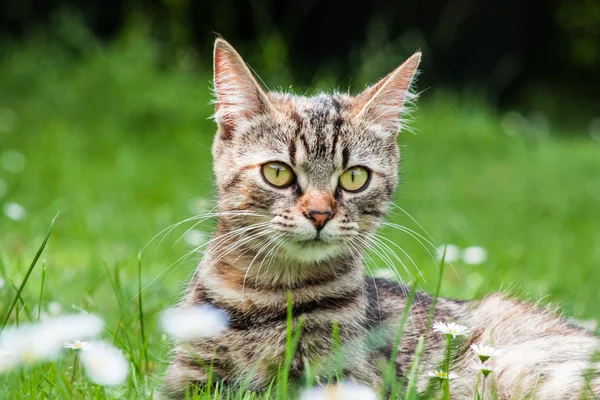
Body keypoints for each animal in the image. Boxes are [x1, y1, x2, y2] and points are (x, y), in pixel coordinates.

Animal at [162, 38, 596, 400]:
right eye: (278, 173)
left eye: (354, 177)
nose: (319, 214)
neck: (270, 294)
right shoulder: (189, 378)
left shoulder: (344, 380)